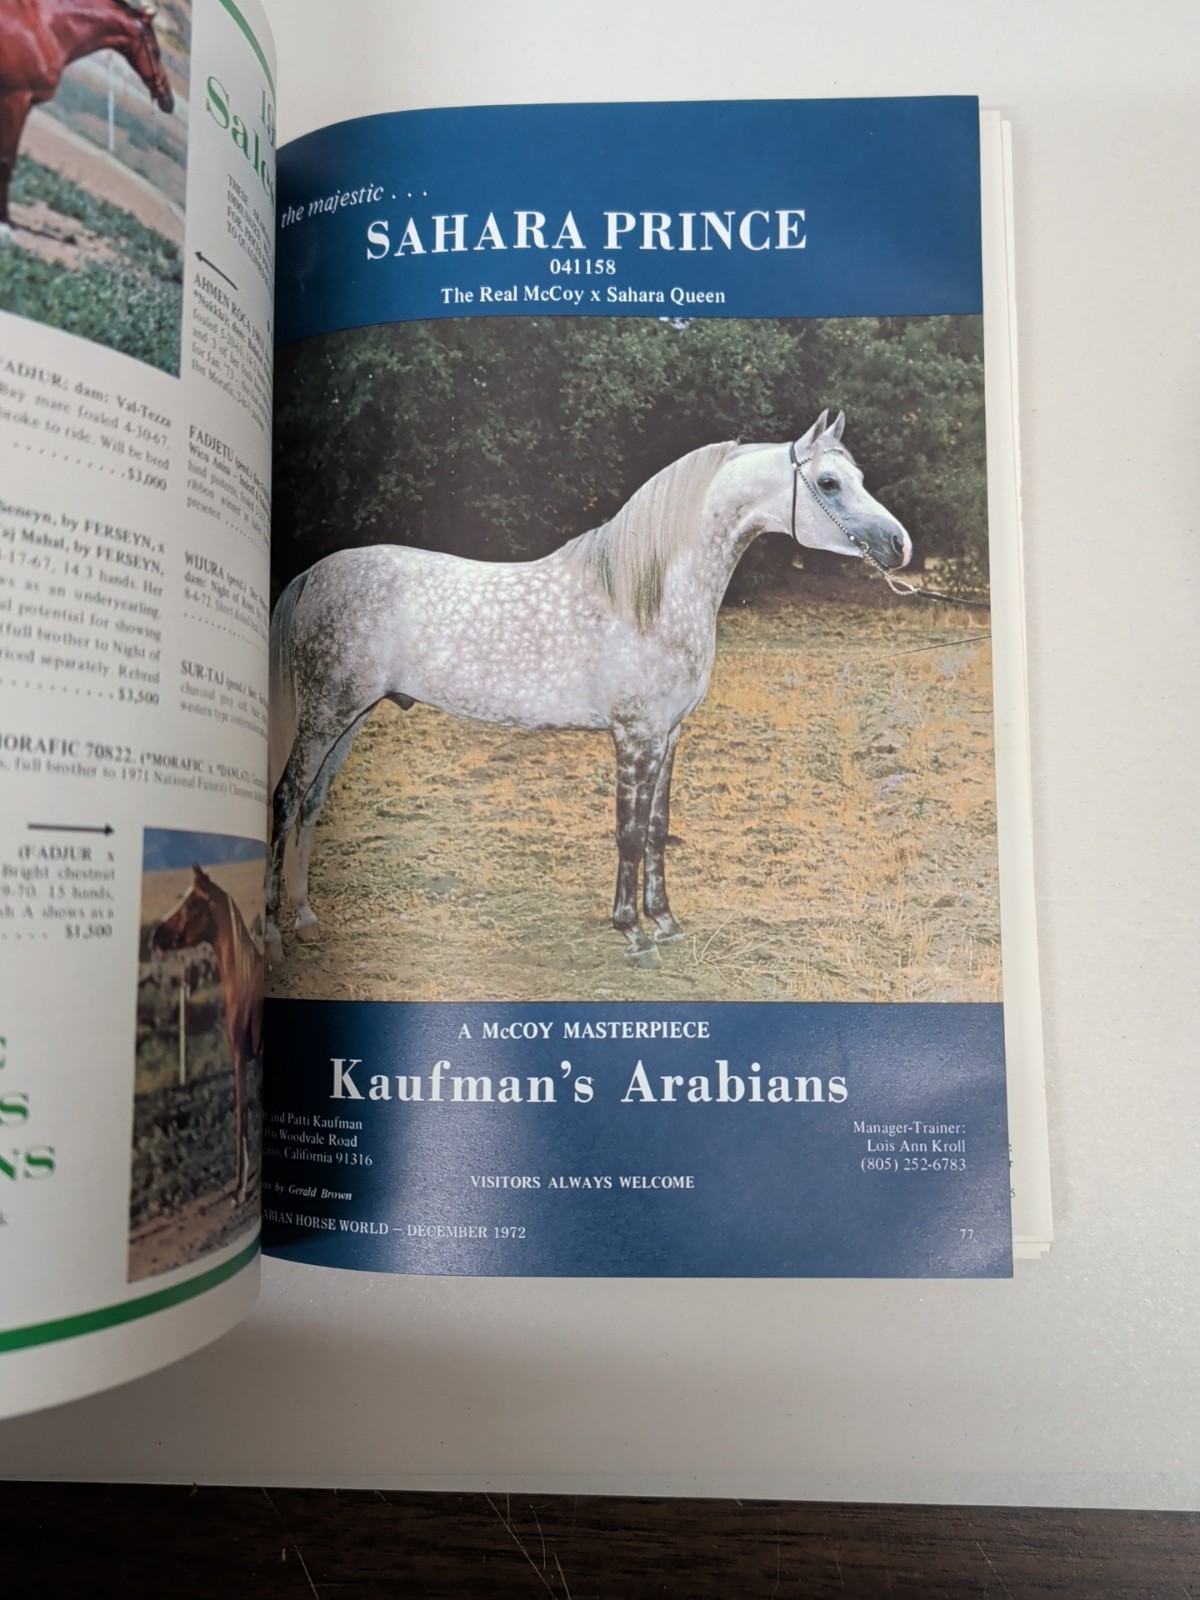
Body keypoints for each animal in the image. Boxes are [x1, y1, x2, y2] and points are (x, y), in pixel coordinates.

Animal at [0, 0, 173, 237]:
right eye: (156, 52)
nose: (168, 101)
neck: (45, 30)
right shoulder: (16, 101)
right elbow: (7, 160)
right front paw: (4, 225)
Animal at [151, 864, 263, 1205]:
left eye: (190, 904)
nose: (154, 936)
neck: (244, 980)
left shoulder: (240, 1057)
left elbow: (241, 1114)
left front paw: (240, 1187)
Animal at [267, 411, 912, 963]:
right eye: (828, 483)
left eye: (857, 477)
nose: (900, 545)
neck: (647, 595)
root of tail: (314, 574)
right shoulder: (634, 735)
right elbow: (628, 832)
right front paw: (633, 933)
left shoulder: (668, 735)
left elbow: (657, 829)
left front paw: (665, 922)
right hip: (325, 715)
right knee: (284, 801)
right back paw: (273, 938)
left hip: (349, 718)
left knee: (311, 803)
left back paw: (306, 919)